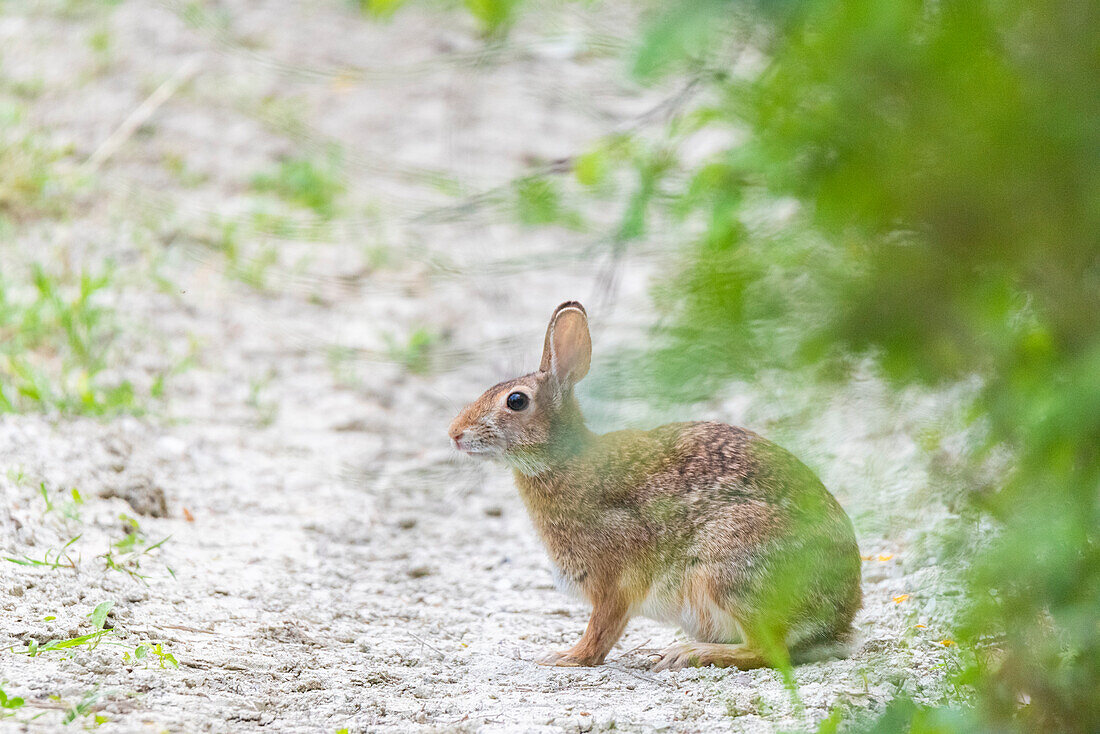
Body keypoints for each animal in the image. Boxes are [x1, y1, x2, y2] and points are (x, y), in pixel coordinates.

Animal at [446, 299, 858, 673]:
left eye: (516, 401)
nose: (454, 433)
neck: (562, 460)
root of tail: (838, 616)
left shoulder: (612, 579)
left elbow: (602, 628)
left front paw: (566, 657)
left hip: (728, 567)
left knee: (767, 651)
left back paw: (687, 654)